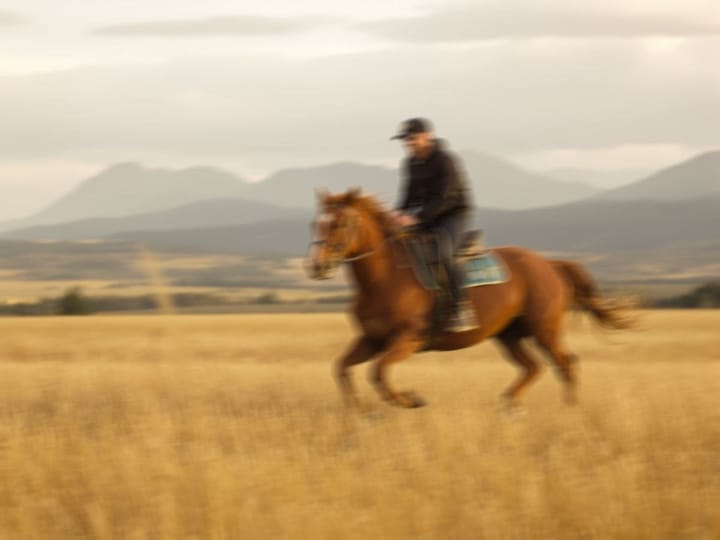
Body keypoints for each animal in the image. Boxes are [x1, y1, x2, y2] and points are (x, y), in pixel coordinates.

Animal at [306, 188, 631, 409]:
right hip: (509, 335)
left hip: (544, 330)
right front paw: (360, 410)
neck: (384, 278)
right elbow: (342, 368)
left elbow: (379, 372)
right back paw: (510, 405)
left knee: (565, 363)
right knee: (532, 367)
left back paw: (569, 410)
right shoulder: (371, 339)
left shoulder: (407, 339)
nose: (316, 267)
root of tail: (551, 264)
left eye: (338, 224)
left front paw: (411, 399)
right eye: (315, 224)